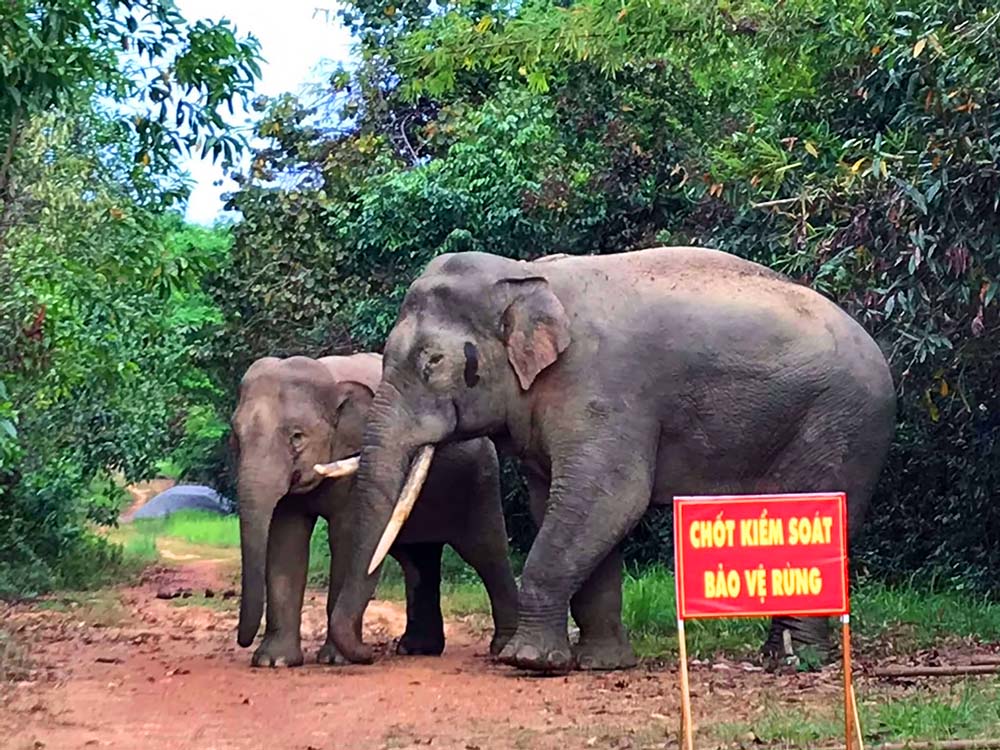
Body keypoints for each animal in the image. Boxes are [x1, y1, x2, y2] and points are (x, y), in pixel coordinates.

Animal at [231, 354, 520, 668]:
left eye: (297, 437)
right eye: (236, 435)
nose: (369, 654)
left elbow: (347, 539)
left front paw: (336, 660)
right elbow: (286, 541)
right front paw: (274, 662)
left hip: (478, 480)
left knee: (485, 551)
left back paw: (500, 648)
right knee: (417, 560)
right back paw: (417, 649)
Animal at [324, 247, 896, 676]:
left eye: (433, 363)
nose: (368, 655)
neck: (526, 276)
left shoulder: (602, 390)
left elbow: (606, 498)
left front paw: (530, 662)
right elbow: (569, 507)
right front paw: (602, 665)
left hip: (842, 425)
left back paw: (801, 663)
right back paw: (780, 658)